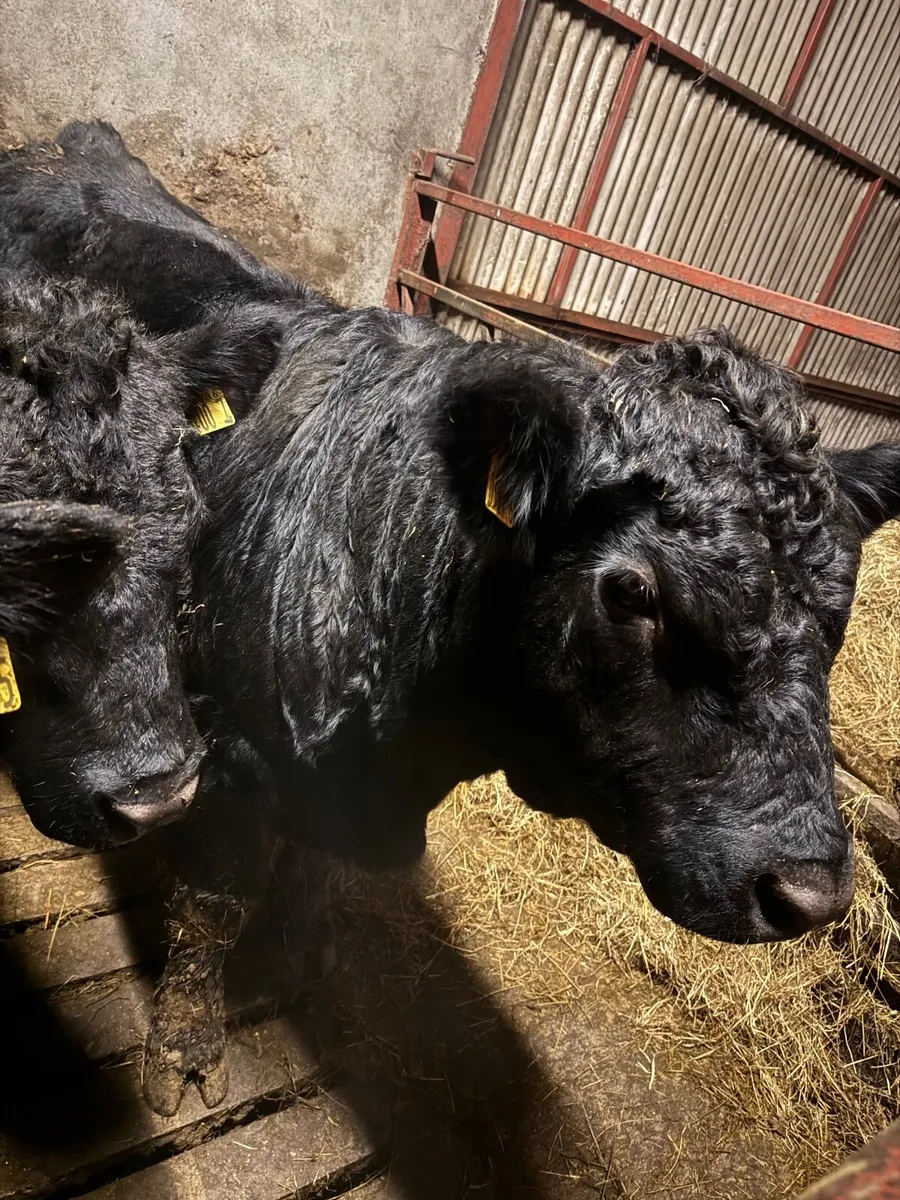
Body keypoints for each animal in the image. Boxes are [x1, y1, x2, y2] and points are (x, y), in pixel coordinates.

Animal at [2, 122, 900, 1118]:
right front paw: (187, 1045)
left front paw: (308, 950)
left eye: (839, 609)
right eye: (631, 594)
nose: (809, 894)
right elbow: (215, 904)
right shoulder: (226, 753)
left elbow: (315, 875)